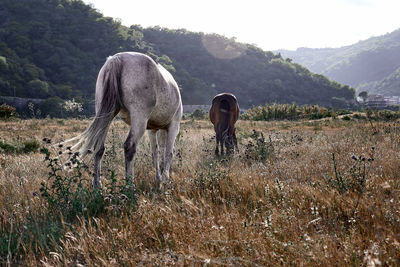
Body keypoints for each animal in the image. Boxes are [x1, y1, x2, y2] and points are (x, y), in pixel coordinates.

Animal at [67, 51, 183, 188]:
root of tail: (118, 58)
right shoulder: (173, 126)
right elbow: (168, 153)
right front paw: (165, 180)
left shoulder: (152, 130)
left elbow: (156, 153)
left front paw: (158, 179)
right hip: (139, 118)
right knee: (129, 147)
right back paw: (129, 186)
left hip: (106, 115)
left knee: (99, 148)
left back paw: (97, 186)